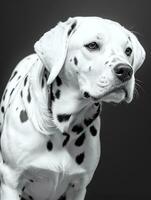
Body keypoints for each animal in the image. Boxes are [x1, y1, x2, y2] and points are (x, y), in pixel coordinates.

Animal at [0, 16, 145, 200]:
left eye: (128, 50)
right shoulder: (10, 182)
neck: (62, 128)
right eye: (92, 45)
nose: (126, 71)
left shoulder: (78, 188)